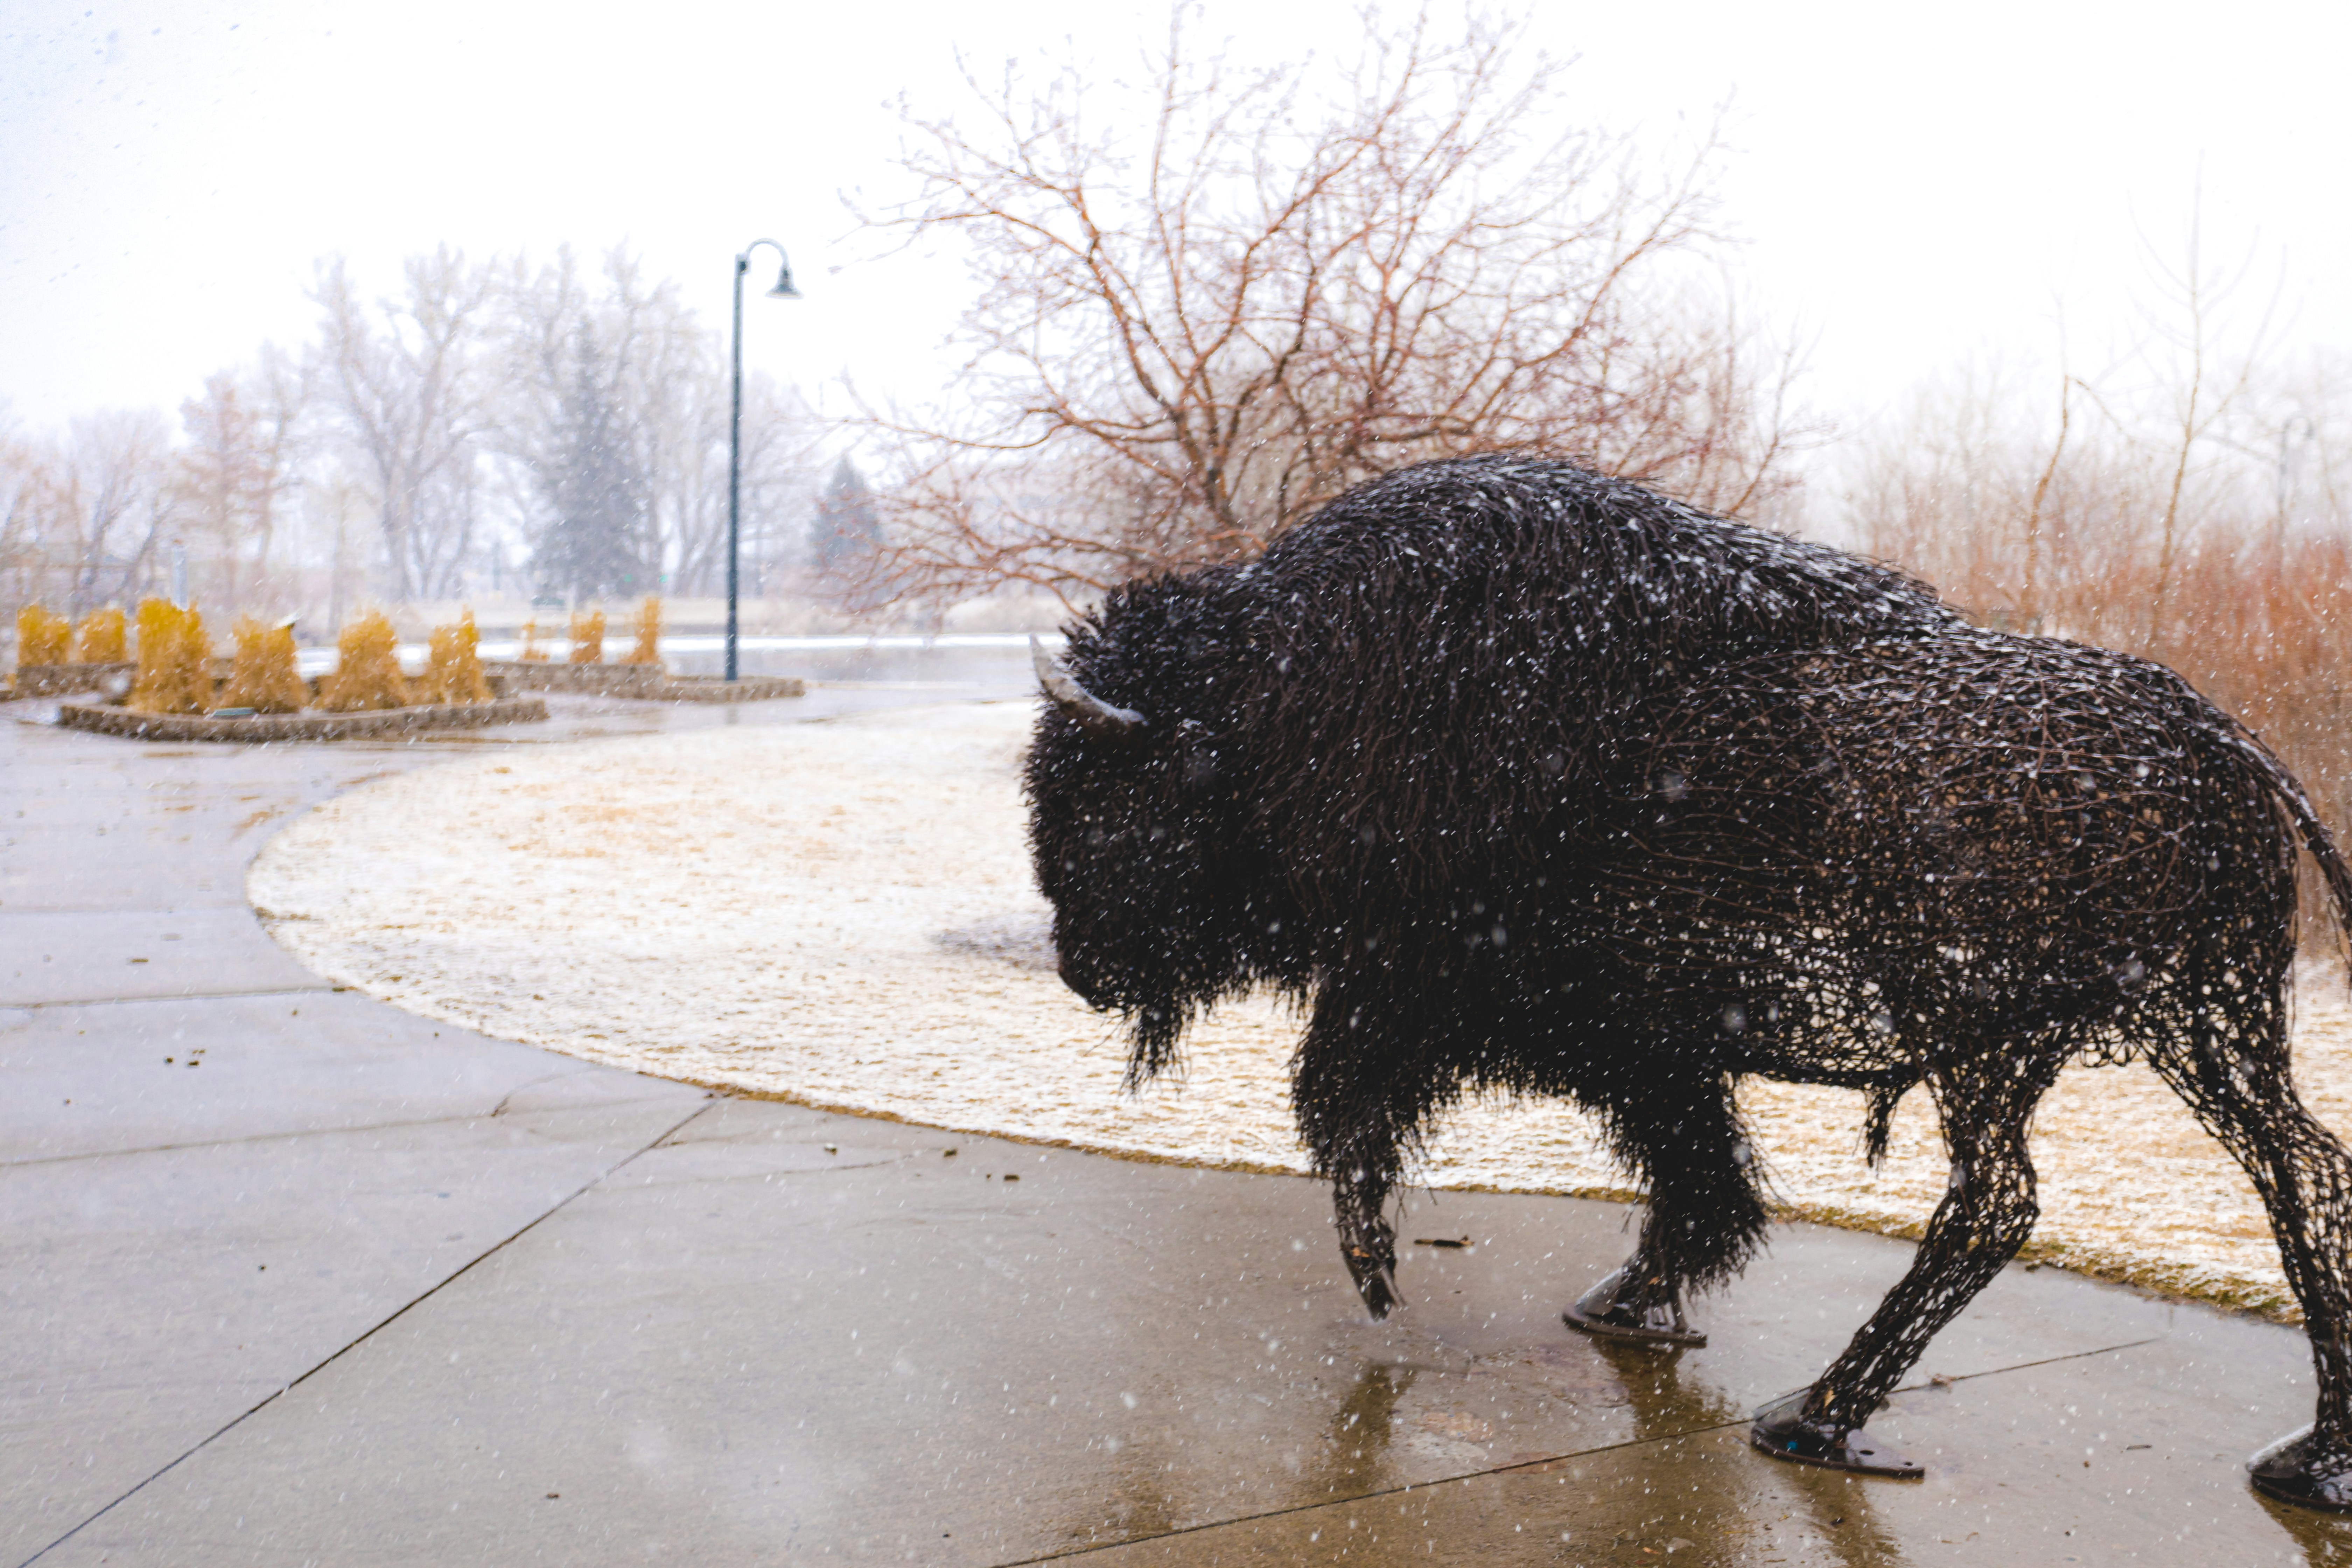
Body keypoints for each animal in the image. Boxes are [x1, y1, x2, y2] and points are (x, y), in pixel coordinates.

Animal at [1024, 453, 2352, 1507]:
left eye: (1098, 791)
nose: (1076, 966)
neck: (1272, 698)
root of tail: (2225, 742)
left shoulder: (1425, 996)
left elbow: (1346, 1106)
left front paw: (1382, 1273)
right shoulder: (1644, 1049)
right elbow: (1697, 1170)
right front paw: (1626, 1304)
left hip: (2042, 1044)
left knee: (2019, 1200)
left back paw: (1813, 1419)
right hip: (2175, 1031)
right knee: (2274, 1173)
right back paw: (2298, 1460)